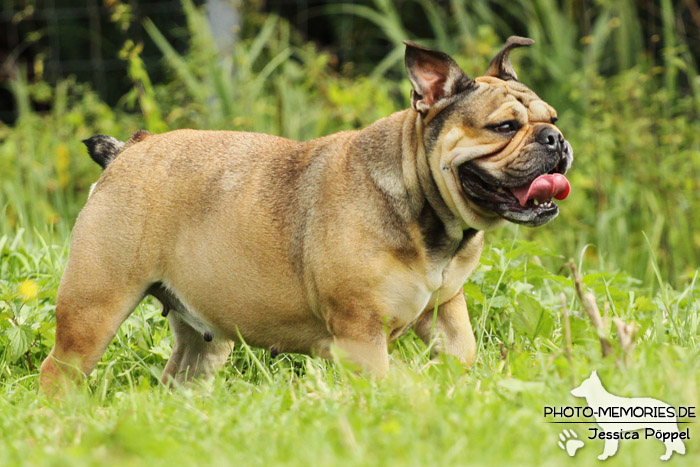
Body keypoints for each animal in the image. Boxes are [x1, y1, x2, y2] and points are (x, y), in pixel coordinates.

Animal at [38, 37, 572, 394]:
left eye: (552, 119)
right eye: (503, 127)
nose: (555, 139)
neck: (426, 209)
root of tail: (128, 150)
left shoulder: (447, 315)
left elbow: (462, 357)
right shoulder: (361, 336)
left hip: (203, 341)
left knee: (181, 375)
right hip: (93, 309)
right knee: (58, 371)